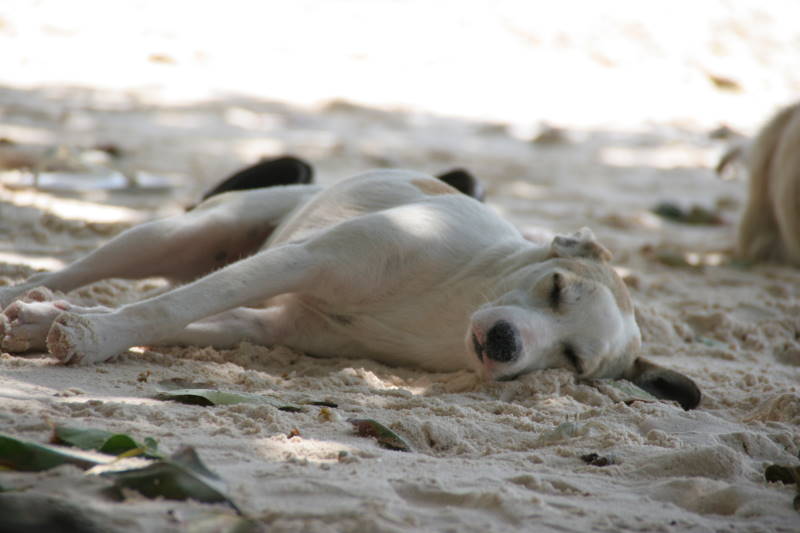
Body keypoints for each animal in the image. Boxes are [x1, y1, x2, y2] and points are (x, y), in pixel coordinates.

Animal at [0, 157, 700, 408]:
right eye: (555, 288)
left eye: (575, 361)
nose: (504, 343)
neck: (450, 308)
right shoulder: (306, 259)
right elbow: (168, 307)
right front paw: (93, 336)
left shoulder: (272, 325)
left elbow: (186, 319)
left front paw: (56, 329)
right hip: (174, 234)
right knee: (74, 268)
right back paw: (24, 294)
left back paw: (36, 315)